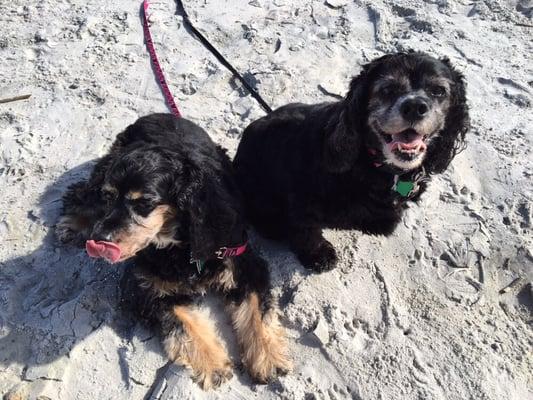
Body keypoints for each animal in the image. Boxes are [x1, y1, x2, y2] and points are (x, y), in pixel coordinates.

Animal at [56, 114, 290, 390]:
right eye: (109, 197)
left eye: (144, 203)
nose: (100, 239)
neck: (180, 245)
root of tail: (154, 115)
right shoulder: (145, 286)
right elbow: (182, 321)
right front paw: (214, 363)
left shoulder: (243, 262)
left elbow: (256, 311)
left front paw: (267, 358)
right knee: (82, 190)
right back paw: (74, 224)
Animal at [235, 52, 468, 272]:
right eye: (387, 89)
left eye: (438, 91)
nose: (414, 106)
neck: (376, 166)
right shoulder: (300, 198)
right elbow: (306, 230)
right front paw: (319, 255)